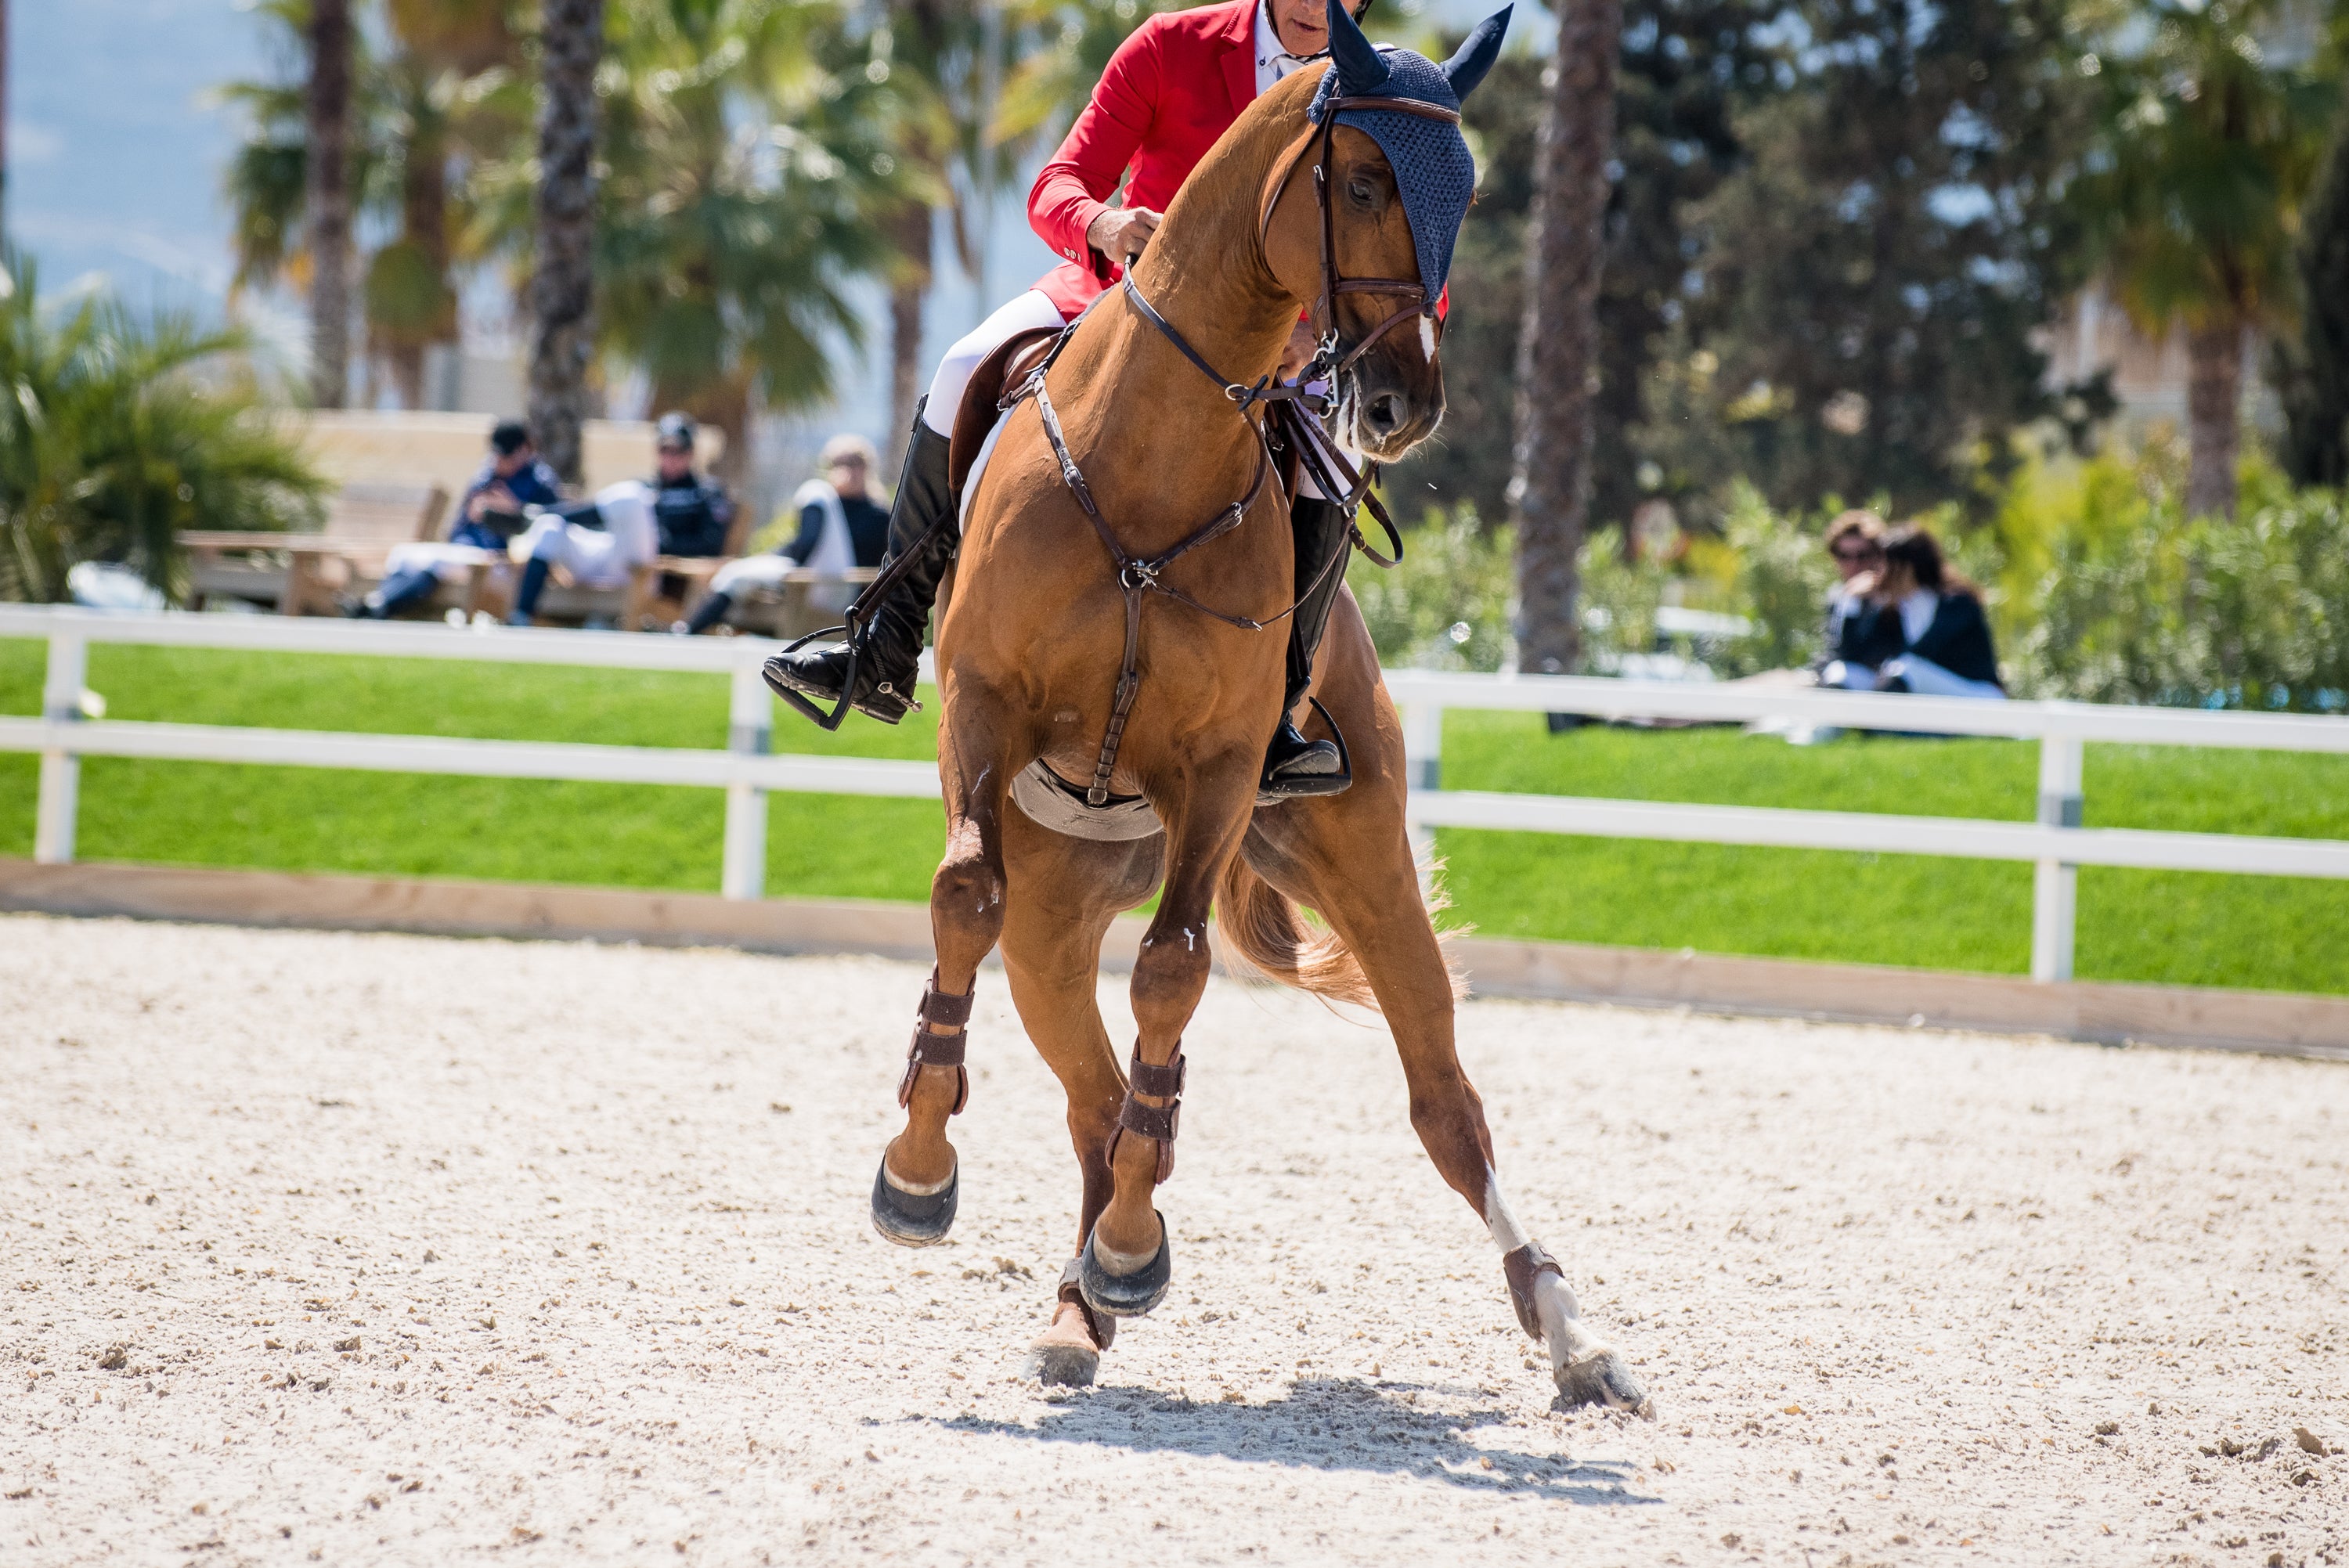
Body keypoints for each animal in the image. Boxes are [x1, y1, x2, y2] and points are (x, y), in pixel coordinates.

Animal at [846, 0, 1650, 1415]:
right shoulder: (984, 715)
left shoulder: (1220, 767)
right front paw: (919, 1173)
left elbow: (1174, 971)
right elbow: (959, 900)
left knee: (1442, 1100)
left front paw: (1125, 1242)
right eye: (1367, 180)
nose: (1404, 404)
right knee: (1087, 1087)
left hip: (1360, 853)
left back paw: (1566, 1326)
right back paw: (1078, 1306)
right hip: (1060, 913)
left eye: (1468, 192)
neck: (1148, 461)